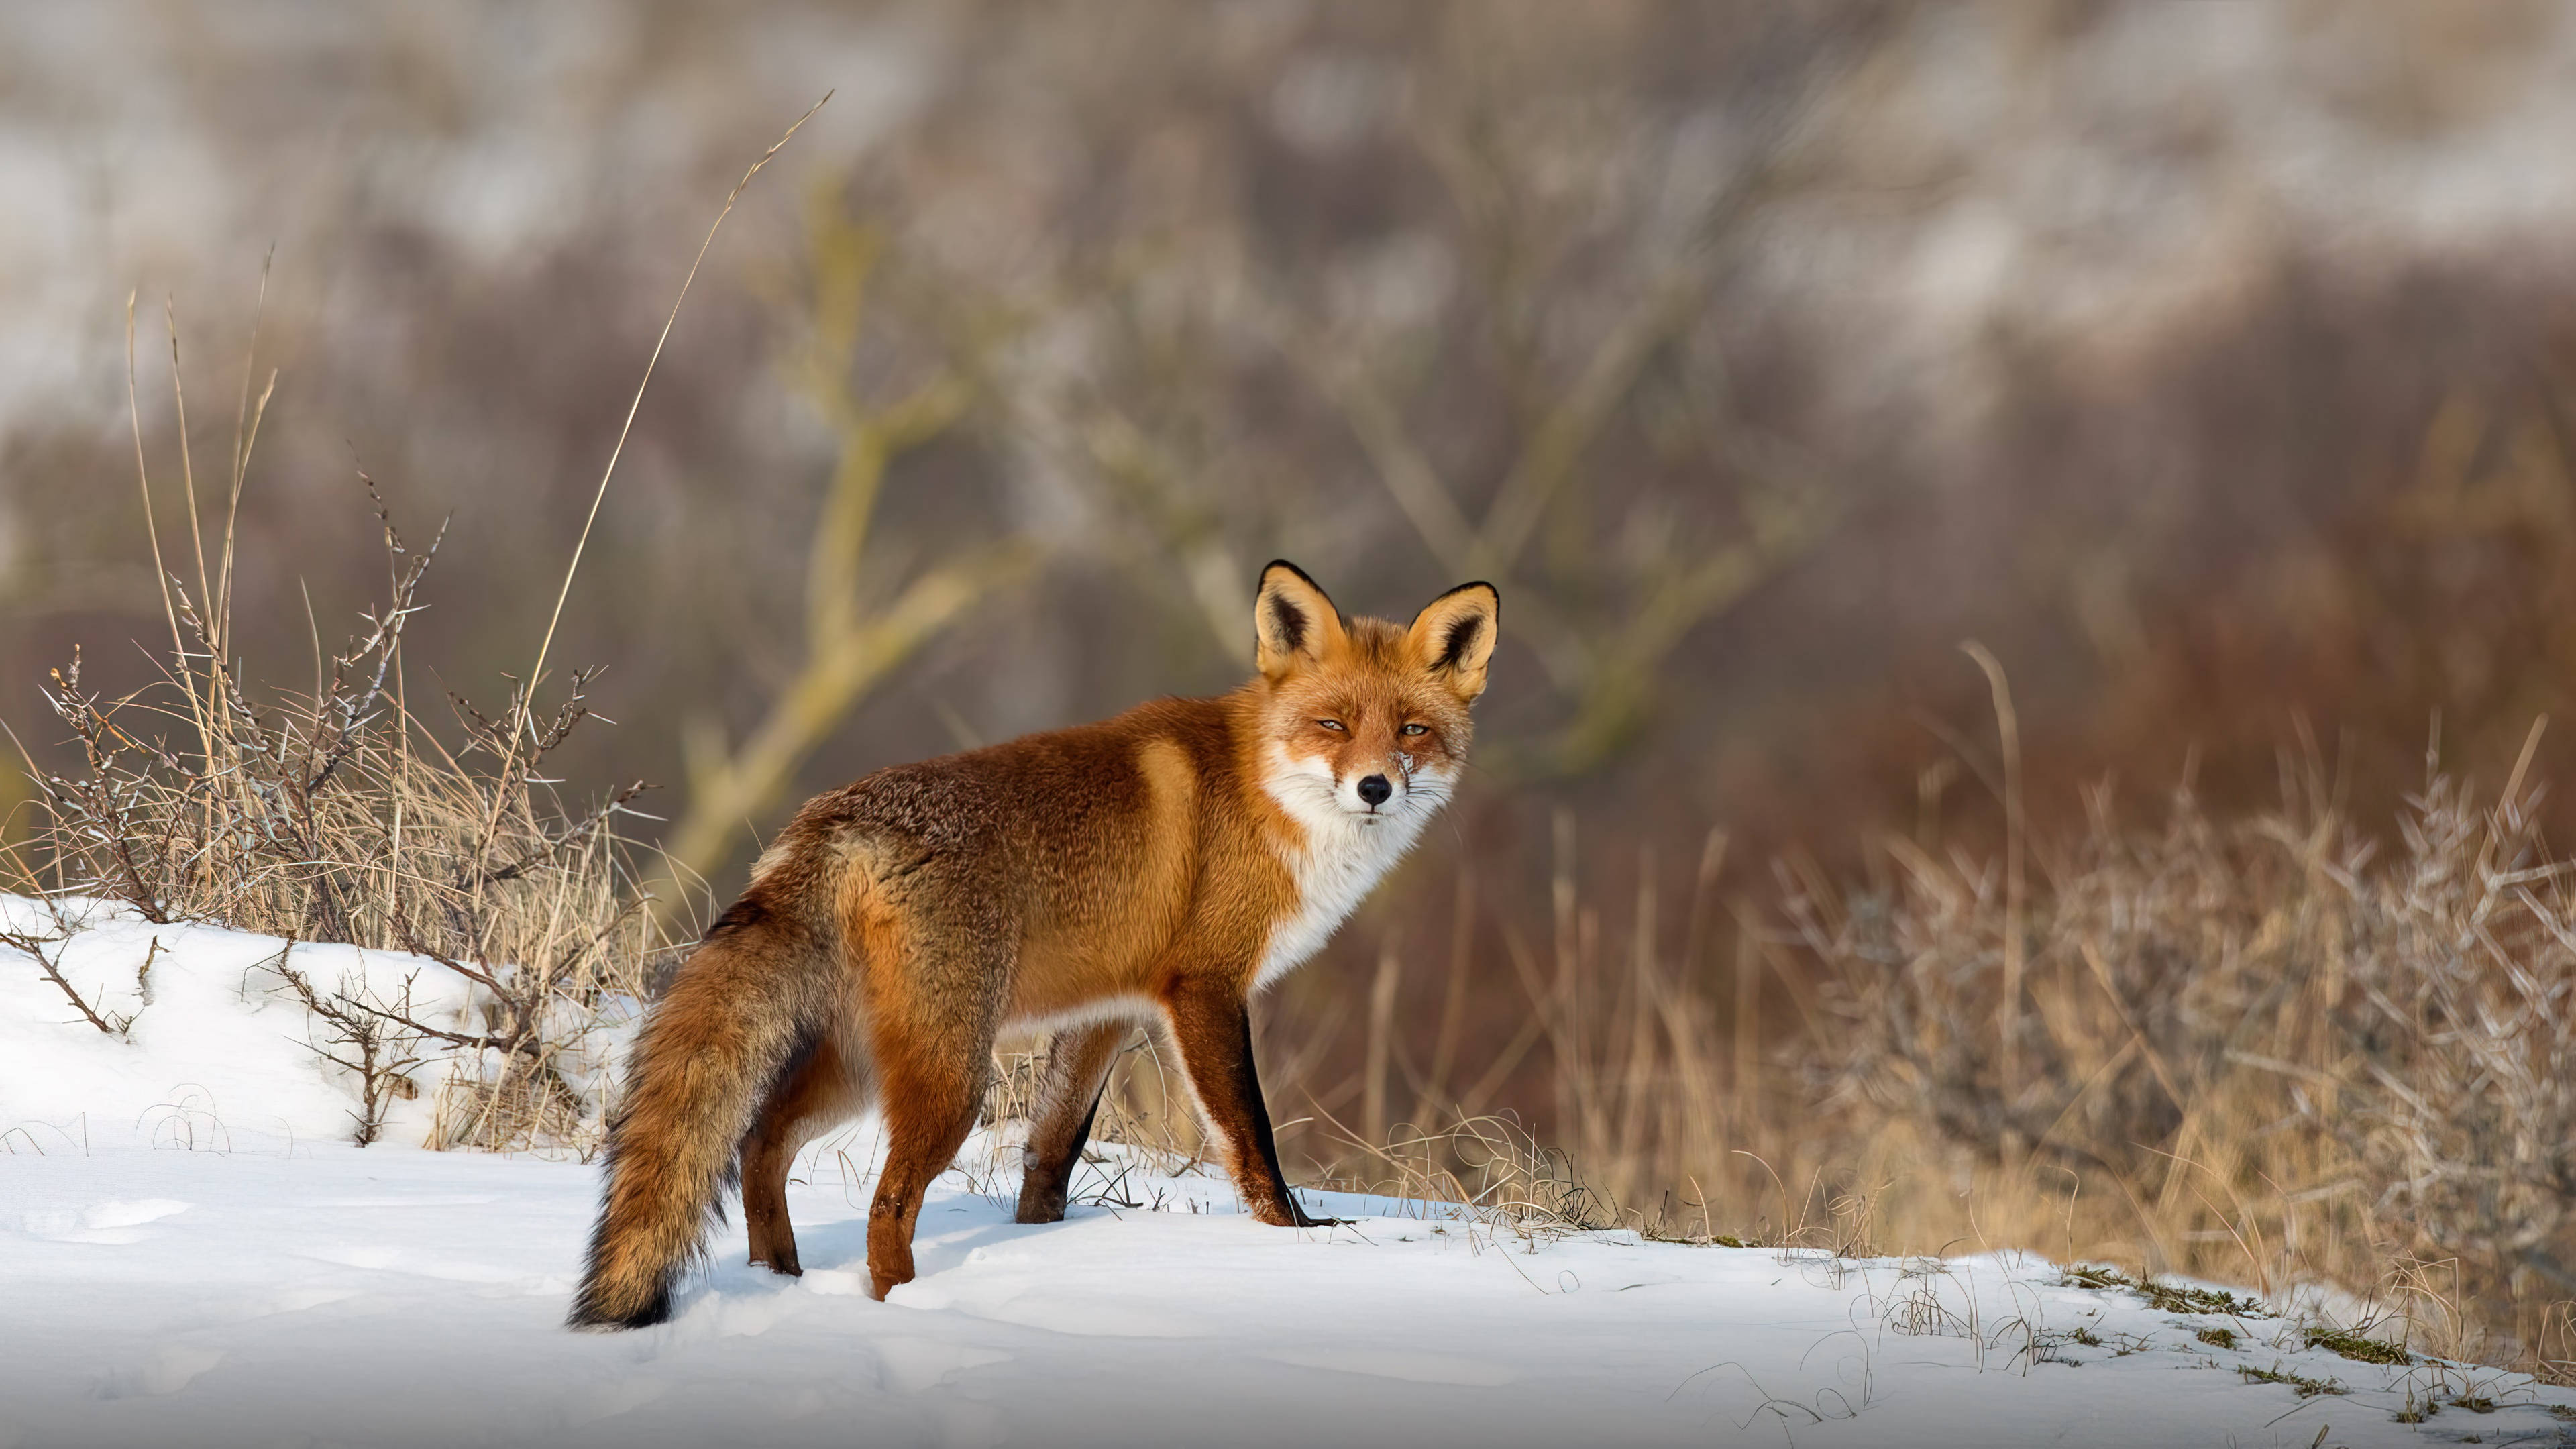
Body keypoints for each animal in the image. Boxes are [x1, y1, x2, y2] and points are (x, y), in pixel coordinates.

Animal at [568, 560, 1499, 1328]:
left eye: (1412, 731)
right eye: (1333, 724)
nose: (1374, 787)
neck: (1266, 793)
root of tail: (830, 823)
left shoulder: (1107, 1012)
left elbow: (1054, 1152)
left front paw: (1044, 1244)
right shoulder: (1205, 988)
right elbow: (1252, 1136)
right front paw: (1293, 1235)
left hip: (863, 1062)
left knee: (760, 1142)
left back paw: (782, 1281)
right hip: (952, 1077)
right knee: (883, 1204)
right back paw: (909, 1307)